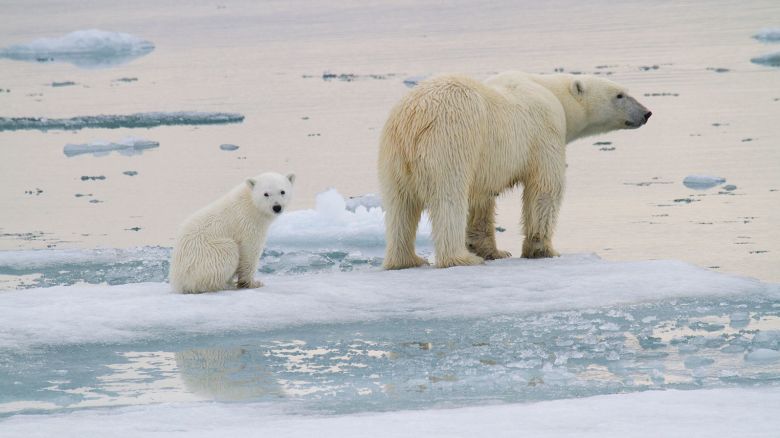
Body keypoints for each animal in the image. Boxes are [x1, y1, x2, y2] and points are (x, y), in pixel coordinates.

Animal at [380, 72, 648, 268]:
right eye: (620, 95)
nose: (647, 113)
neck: (552, 92)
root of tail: (413, 120)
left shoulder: (485, 163)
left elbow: (481, 200)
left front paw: (493, 251)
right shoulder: (545, 132)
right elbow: (545, 187)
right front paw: (543, 249)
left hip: (393, 156)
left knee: (399, 206)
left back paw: (407, 260)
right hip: (451, 141)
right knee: (449, 199)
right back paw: (460, 258)